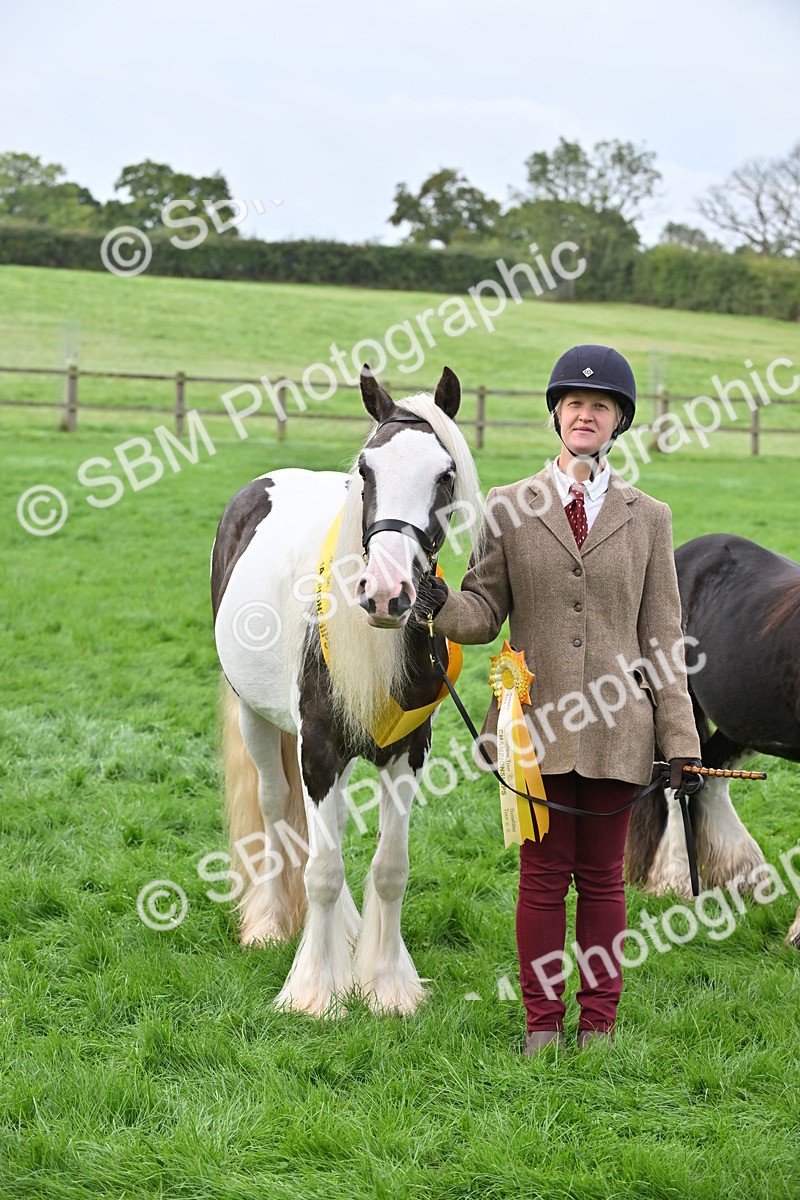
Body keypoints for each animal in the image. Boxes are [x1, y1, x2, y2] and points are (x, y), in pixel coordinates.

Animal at [210, 366, 483, 1016]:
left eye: (445, 474)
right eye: (366, 469)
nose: (386, 593)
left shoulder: (406, 751)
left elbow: (389, 867)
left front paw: (384, 984)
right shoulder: (317, 748)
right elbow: (323, 869)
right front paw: (314, 991)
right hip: (259, 721)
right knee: (276, 808)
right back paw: (269, 924)